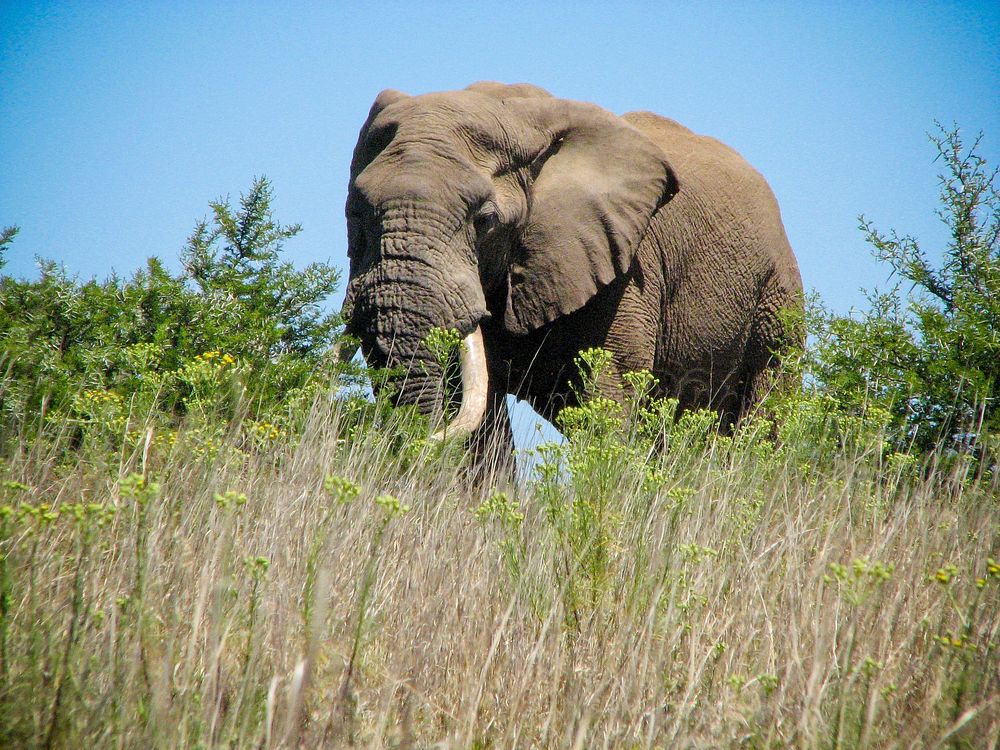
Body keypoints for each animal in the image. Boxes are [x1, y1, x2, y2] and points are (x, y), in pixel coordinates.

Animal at [344, 82, 804, 470]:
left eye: (485, 220)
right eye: (355, 214)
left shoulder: (623, 270)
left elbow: (610, 395)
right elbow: (475, 410)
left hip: (778, 301)